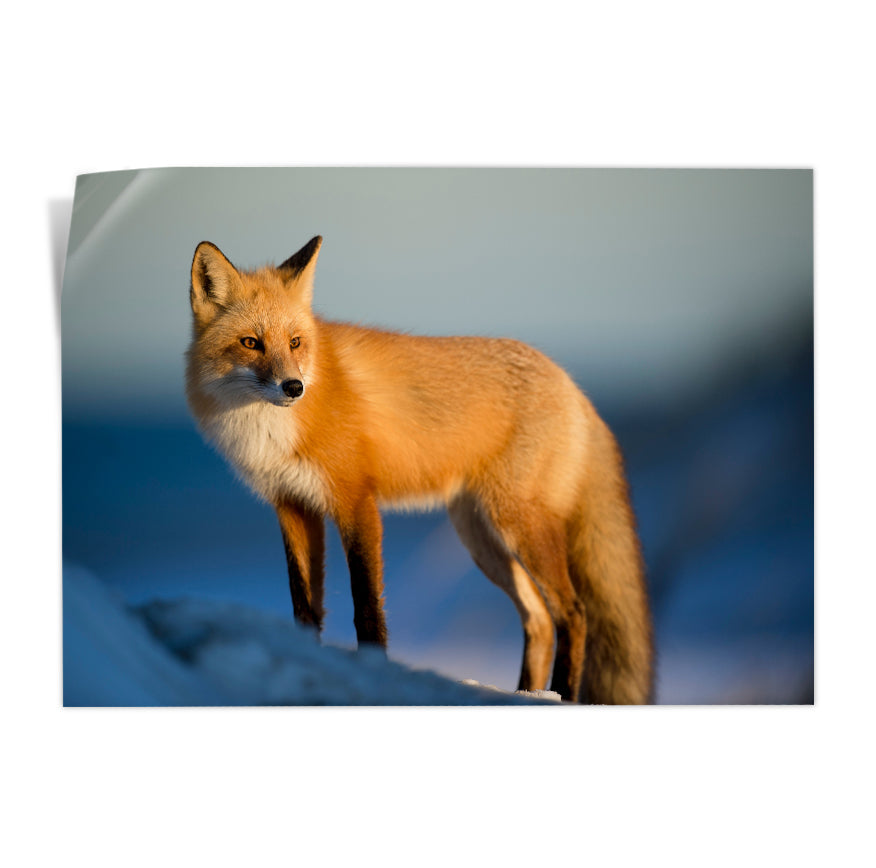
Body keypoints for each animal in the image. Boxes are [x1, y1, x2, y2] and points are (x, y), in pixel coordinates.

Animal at [185, 236, 654, 704]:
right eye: (251, 343)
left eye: (296, 342)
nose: (293, 387)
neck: (272, 430)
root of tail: (573, 386)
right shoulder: (292, 506)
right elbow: (304, 606)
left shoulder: (356, 501)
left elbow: (367, 606)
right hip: (482, 539)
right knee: (538, 619)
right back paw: (527, 693)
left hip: (518, 525)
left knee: (573, 614)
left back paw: (561, 694)